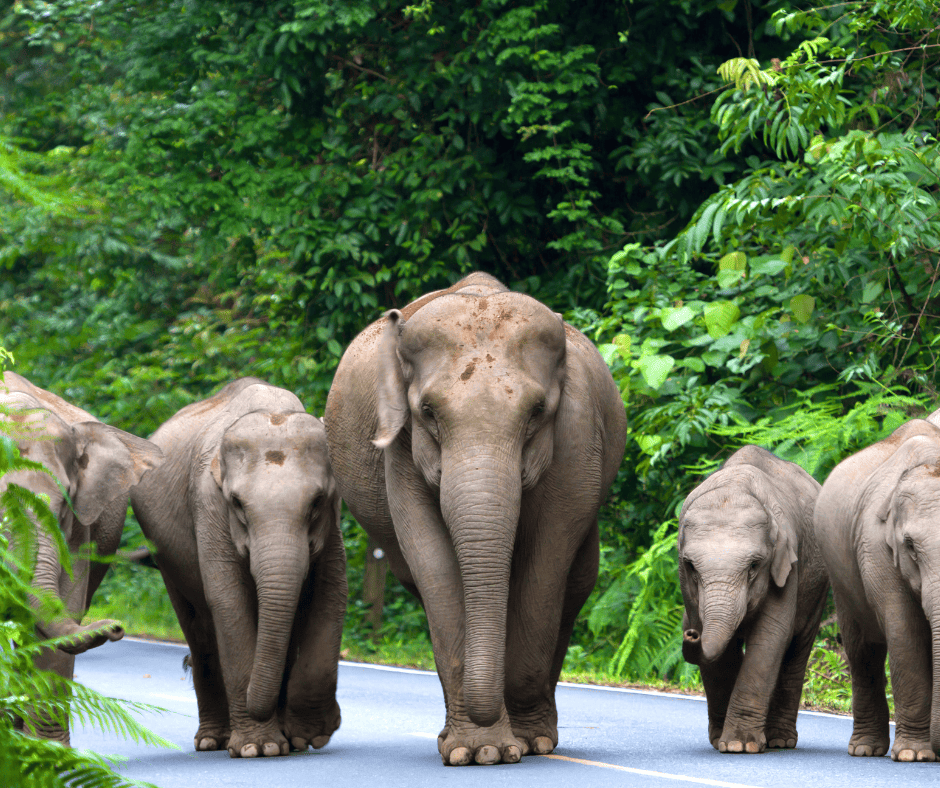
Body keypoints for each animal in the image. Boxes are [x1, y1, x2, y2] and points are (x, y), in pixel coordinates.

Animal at [132, 378, 348, 760]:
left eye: (317, 502)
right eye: (237, 504)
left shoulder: (333, 523)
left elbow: (331, 594)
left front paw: (309, 735)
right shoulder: (207, 505)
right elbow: (229, 601)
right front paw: (258, 748)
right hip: (166, 556)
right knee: (199, 630)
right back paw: (212, 741)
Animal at [326, 274, 628, 768]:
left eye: (537, 412)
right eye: (428, 412)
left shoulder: (577, 437)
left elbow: (546, 562)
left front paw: (522, 744)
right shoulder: (401, 452)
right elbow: (432, 563)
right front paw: (479, 751)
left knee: (577, 582)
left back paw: (538, 737)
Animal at [680, 446, 828, 756]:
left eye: (754, 566)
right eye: (691, 567)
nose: (691, 633)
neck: (734, 487)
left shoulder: (788, 564)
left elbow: (770, 637)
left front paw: (739, 745)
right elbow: (722, 652)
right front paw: (725, 742)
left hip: (818, 587)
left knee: (797, 649)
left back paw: (780, 741)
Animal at [812, 412, 940, 764]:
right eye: (909, 546)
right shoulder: (874, 546)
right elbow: (904, 632)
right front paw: (913, 754)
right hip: (840, 575)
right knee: (862, 651)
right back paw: (865, 749)